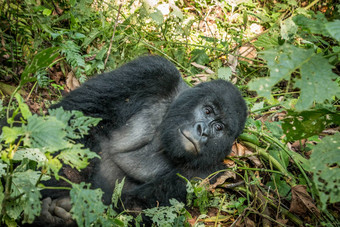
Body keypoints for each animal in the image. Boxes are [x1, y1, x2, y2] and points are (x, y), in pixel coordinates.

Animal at [39, 55, 247, 225]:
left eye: (219, 128)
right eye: (208, 110)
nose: (203, 131)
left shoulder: (210, 173)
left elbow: (136, 210)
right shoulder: (154, 72)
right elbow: (79, 114)